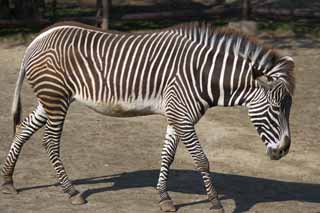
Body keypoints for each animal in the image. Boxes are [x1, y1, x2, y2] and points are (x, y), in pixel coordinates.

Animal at [0, 22, 296, 212]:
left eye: (288, 109)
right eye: (275, 109)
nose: (283, 150)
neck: (202, 75)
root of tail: (39, 37)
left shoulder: (177, 115)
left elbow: (168, 156)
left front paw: (164, 198)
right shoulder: (183, 116)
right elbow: (201, 159)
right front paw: (215, 202)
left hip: (49, 98)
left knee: (23, 128)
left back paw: (8, 181)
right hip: (55, 97)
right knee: (49, 141)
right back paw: (71, 192)